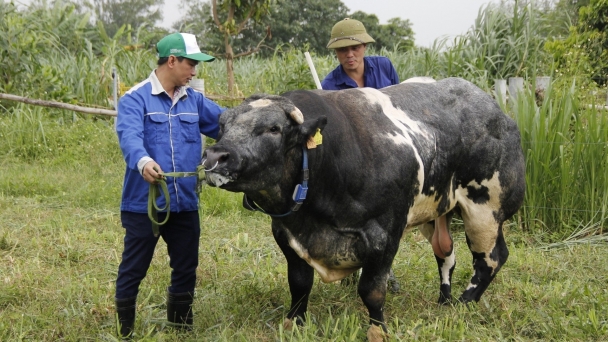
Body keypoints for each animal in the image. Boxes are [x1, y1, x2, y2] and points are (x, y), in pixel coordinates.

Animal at [202, 78, 524, 342]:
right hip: (436, 209)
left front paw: (377, 331)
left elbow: (371, 290)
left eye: (273, 128)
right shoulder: (286, 233)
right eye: (222, 125)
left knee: (491, 258)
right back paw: (443, 302)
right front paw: (294, 323)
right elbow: (299, 283)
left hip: (486, 208)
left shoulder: (384, 235)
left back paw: (463, 304)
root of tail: (496, 110)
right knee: (446, 254)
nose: (216, 156)